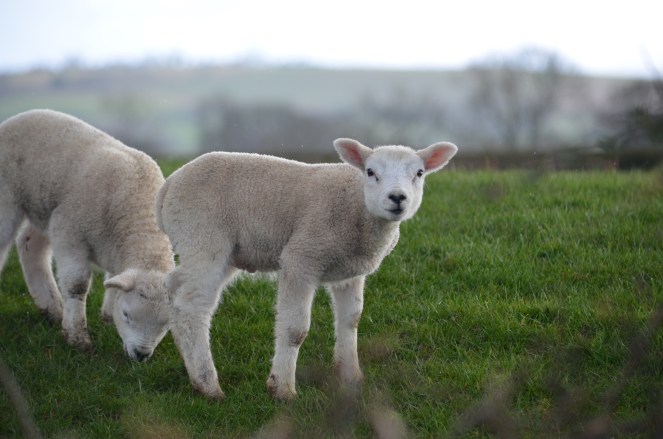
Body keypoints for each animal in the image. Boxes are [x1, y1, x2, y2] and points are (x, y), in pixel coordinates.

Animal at [0, 109, 174, 361]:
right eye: (127, 314)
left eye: (167, 326)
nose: (141, 355)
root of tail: (22, 115)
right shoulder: (69, 233)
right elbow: (77, 285)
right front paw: (77, 338)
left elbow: (113, 280)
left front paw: (107, 316)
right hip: (10, 197)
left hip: (46, 208)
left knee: (30, 245)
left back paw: (52, 309)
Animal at [156, 138, 457, 400]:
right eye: (370, 172)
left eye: (419, 173)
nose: (397, 197)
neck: (357, 207)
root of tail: (168, 186)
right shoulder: (302, 258)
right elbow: (295, 330)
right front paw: (282, 389)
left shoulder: (350, 271)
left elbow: (351, 320)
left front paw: (350, 376)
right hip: (203, 236)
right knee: (192, 307)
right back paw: (208, 384)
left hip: (217, 251)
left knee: (174, 288)